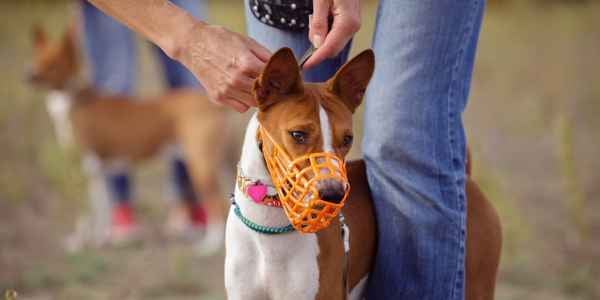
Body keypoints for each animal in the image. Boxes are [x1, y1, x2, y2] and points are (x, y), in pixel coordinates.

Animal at [29, 25, 233, 251]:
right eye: (36, 58)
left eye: (52, 64)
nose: (28, 75)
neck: (73, 100)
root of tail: (213, 105)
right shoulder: (97, 172)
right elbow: (101, 211)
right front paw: (101, 239)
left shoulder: (85, 169)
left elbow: (87, 213)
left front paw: (81, 242)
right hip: (223, 160)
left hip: (200, 166)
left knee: (216, 204)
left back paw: (209, 244)